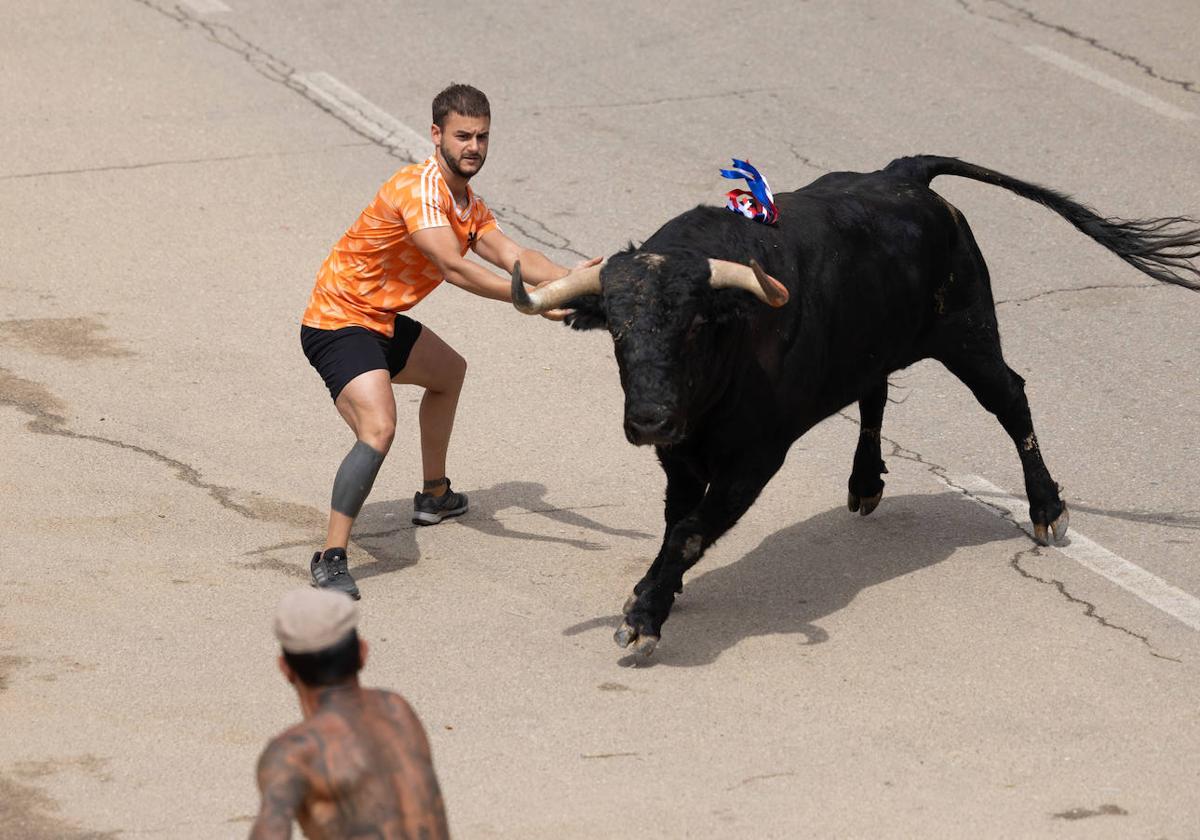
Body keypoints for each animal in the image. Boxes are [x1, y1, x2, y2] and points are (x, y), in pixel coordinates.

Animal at [508, 157, 1200, 657]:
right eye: (617, 331)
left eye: (696, 325)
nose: (649, 419)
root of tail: (904, 173)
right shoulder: (680, 457)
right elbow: (678, 523)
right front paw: (658, 597)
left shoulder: (753, 458)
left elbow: (688, 531)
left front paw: (644, 614)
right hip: (881, 344)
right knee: (876, 391)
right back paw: (866, 482)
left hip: (969, 332)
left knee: (1011, 399)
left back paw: (1047, 509)